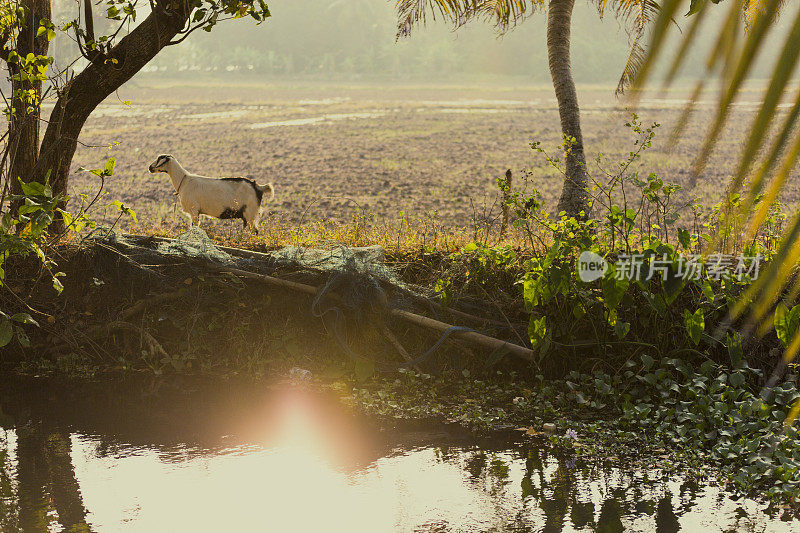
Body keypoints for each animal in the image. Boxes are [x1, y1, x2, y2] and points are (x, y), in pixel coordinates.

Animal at [148, 153, 276, 232]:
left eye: (159, 159)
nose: (150, 167)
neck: (183, 180)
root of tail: (258, 187)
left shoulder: (194, 210)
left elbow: (194, 227)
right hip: (246, 214)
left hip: (250, 212)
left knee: (254, 231)